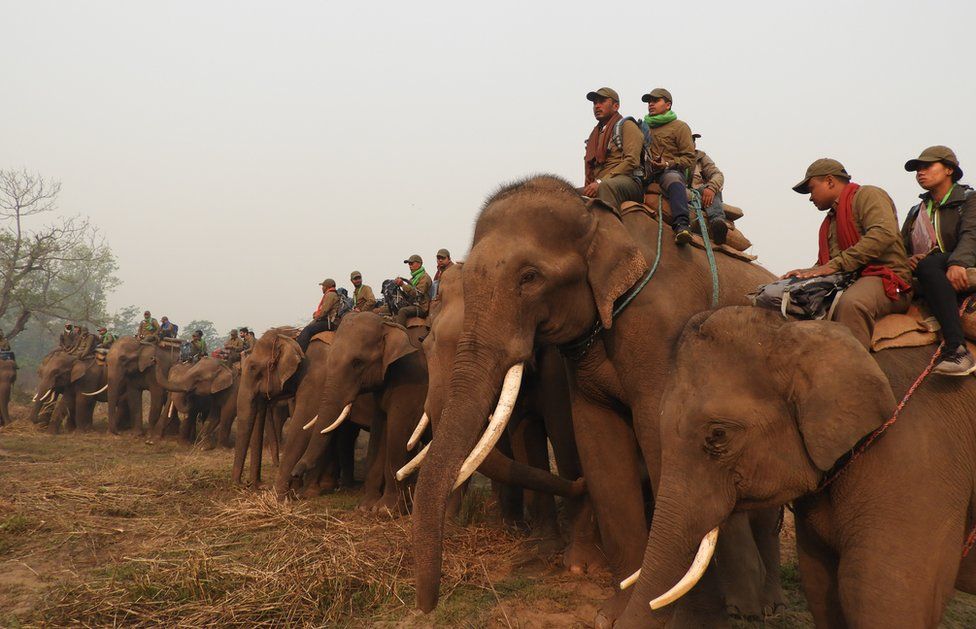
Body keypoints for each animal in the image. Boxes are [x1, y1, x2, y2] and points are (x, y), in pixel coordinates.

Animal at [412, 174, 784, 624]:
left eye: (530, 277)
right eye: (425, 346)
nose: (426, 607)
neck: (597, 217)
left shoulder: (661, 329)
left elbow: (656, 436)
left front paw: (668, 611)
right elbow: (598, 443)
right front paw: (615, 611)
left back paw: (763, 606)